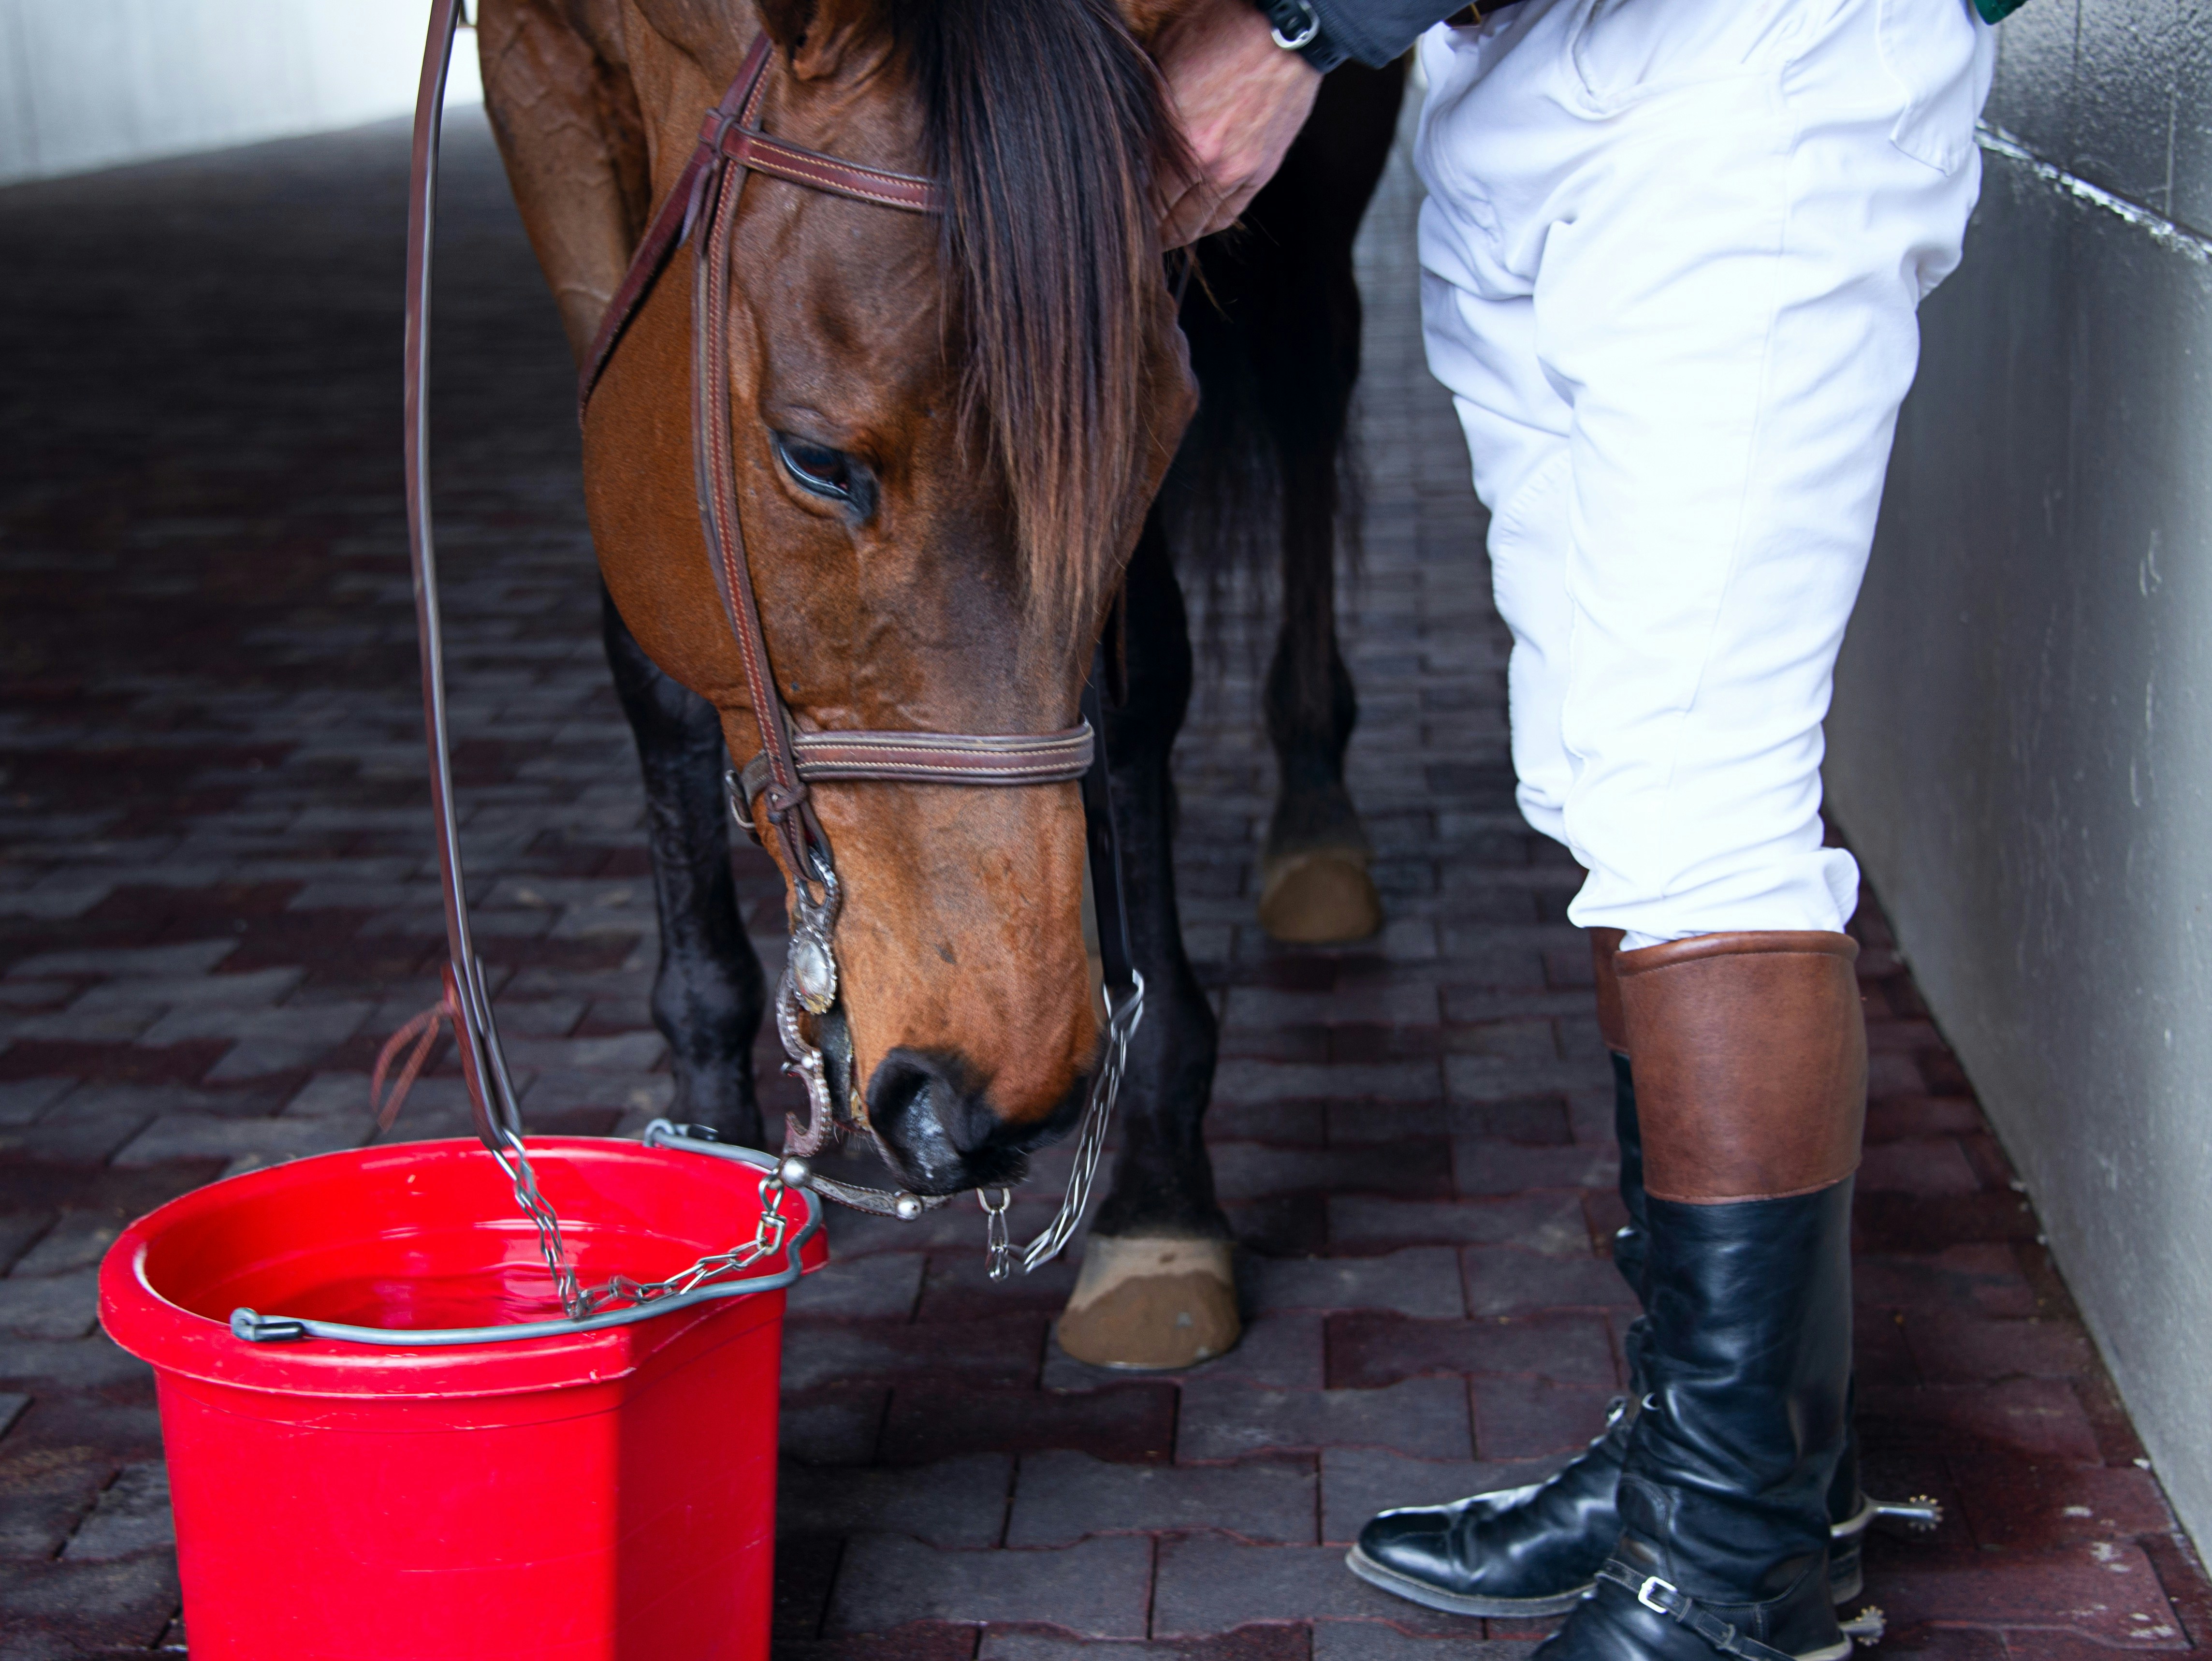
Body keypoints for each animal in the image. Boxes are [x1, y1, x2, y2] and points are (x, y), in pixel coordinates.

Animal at [477, 0, 1401, 1367]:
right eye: (813, 458)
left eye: (1156, 441)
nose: (981, 1097)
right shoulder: (538, 85)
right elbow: (653, 671)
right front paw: (706, 1136)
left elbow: (1132, 685)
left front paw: (1159, 1194)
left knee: (1307, 375)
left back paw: (1315, 800)